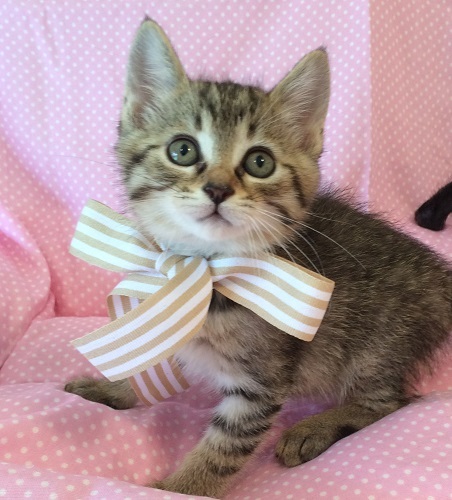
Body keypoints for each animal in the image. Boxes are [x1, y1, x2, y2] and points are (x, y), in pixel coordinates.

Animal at [65, 18, 452, 498]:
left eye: (260, 162)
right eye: (182, 150)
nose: (217, 189)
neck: (203, 271)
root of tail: (439, 276)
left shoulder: (261, 383)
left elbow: (222, 451)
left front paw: (178, 487)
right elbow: (151, 354)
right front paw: (115, 389)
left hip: (375, 349)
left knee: (390, 403)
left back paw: (314, 429)